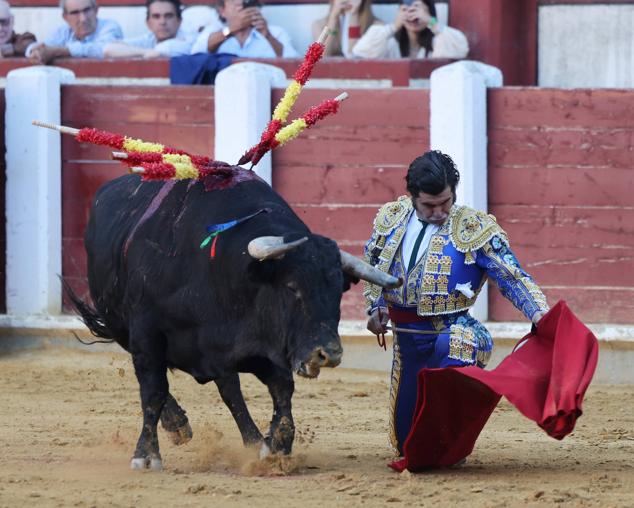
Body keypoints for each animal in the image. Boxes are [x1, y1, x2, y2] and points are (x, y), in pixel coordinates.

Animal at [66, 171, 398, 472]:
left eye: (338, 289)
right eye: (292, 287)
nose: (328, 353)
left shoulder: (258, 348)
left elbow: (279, 390)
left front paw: (276, 444)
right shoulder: (150, 335)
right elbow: (159, 391)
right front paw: (146, 455)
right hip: (122, 328)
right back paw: (177, 425)